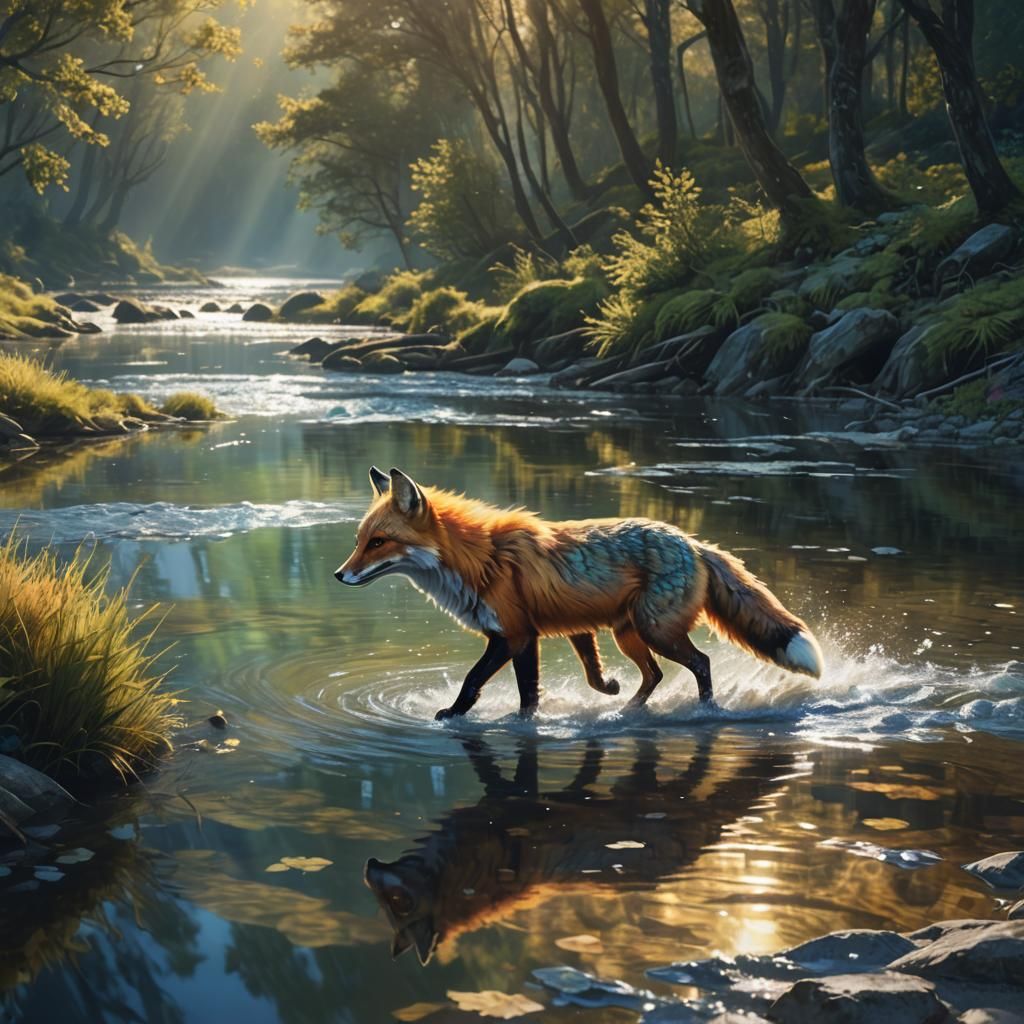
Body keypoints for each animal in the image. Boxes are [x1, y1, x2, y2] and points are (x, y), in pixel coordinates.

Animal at [336, 466, 823, 720]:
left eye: (378, 542)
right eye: (359, 541)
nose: (340, 575)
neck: (481, 558)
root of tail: (694, 543)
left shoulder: (515, 635)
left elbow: (483, 681)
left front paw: (461, 715)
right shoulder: (555, 631)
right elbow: (577, 675)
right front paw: (604, 688)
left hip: (657, 631)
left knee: (699, 663)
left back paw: (705, 710)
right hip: (629, 635)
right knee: (654, 675)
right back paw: (627, 710)